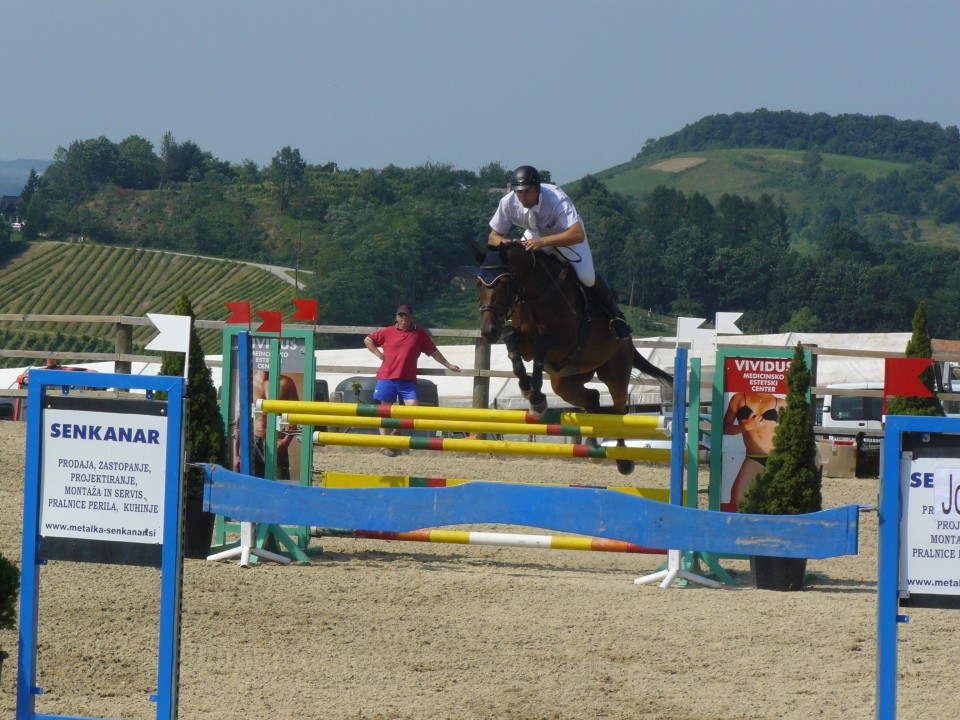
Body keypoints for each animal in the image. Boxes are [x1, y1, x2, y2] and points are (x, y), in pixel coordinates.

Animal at [468, 243, 672, 478]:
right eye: (478, 283)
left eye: (502, 283)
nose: (488, 331)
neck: (535, 294)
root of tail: (629, 341)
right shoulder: (524, 342)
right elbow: (511, 338)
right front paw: (528, 389)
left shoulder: (564, 341)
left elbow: (541, 345)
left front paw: (536, 398)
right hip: (565, 383)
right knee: (592, 398)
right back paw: (593, 446)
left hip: (616, 373)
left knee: (619, 410)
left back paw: (623, 461)